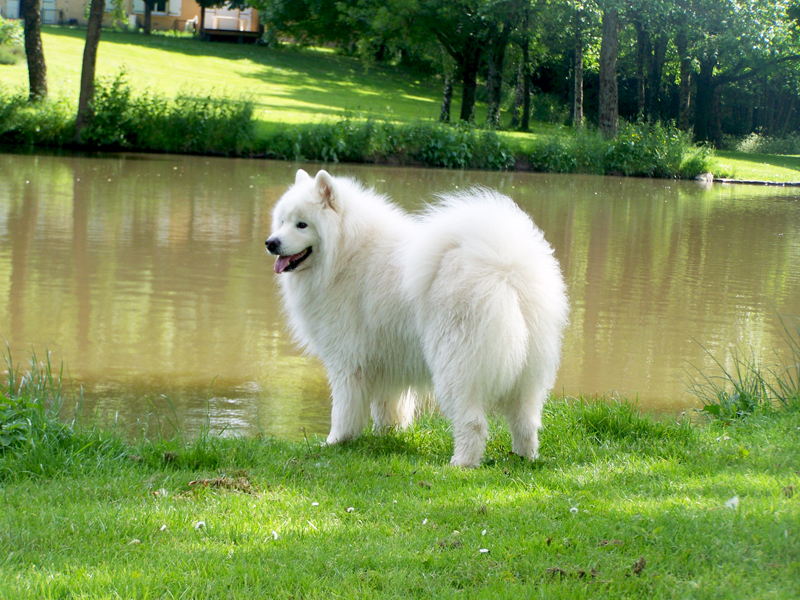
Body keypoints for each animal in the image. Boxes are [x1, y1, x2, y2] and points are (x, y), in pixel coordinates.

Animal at [268, 169, 568, 468]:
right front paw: (386, 436)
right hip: (526, 374)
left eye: (302, 224)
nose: (271, 243)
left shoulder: (347, 361)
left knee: (473, 422)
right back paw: (525, 458)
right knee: (526, 421)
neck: (345, 254)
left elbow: (344, 409)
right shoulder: (384, 361)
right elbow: (387, 407)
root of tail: (506, 271)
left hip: (455, 366)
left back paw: (461, 464)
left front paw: (336, 442)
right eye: (282, 221)